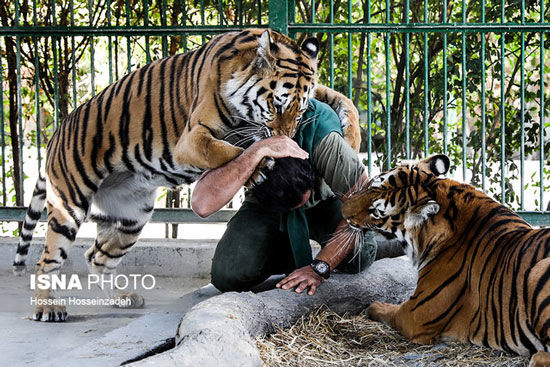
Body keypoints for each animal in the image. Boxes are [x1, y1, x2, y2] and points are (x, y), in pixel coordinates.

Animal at [11, 28, 362, 322]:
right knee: (47, 260)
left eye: (299, 111)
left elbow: (343, 99)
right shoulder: (192, 139)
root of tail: (56, 133)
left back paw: (121, 297)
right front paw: (264, 163)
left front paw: (351, 137)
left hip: (131, 218)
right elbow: (229, 151)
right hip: (69, 205)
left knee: (97, 256)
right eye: (277, 105)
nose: (289, 136)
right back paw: (48, 308)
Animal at [342, 155, 550, 367]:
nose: (342, 209)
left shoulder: (415, 314)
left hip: (537, 272)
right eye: (370, 184)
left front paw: (373, 306)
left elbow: (390, 310)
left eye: (376, 212)